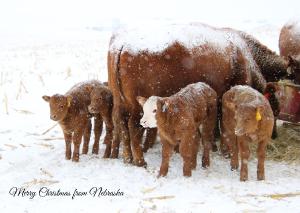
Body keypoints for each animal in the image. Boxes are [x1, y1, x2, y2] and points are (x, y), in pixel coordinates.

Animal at [107, 23, 290, 166]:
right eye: (275, 111)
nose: (274, 135)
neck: (243, 56)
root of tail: (123, 43)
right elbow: (223, 126)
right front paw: (223, 149)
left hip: (120, 103)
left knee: (121, 125)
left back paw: (128, 157)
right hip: (137, 107)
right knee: (133, 128)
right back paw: (139, 160)